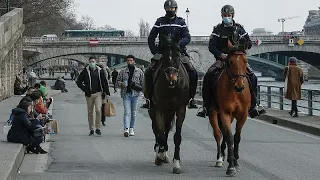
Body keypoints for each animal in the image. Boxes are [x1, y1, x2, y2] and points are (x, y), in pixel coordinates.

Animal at [209, 44, 251, 176]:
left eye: (245, 61)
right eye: (230, 62)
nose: (240, 86)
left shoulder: (243, 115)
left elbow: (236, 137)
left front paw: (235, 162)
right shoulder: (225, 113)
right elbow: (229, 137)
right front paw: (231, 167)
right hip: (213, 112)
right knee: (218, 133)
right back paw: (219, 158)